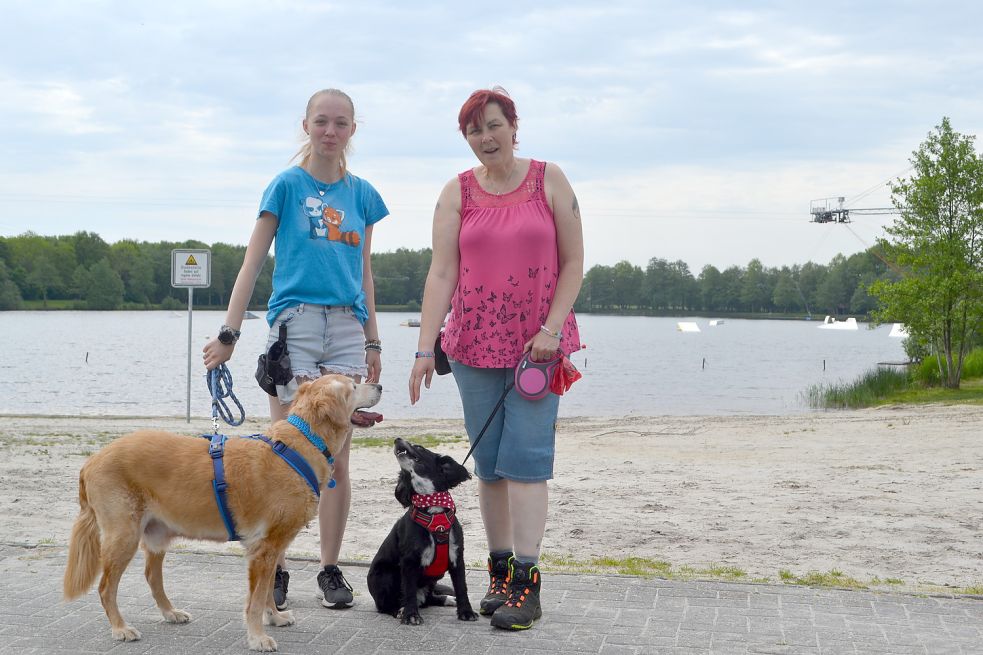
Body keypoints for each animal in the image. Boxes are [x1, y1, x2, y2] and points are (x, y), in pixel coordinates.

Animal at [63, 376, 382, 652]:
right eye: (354, 386)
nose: (379, 385)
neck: (302, 442)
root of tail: (92, 460)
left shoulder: (272, 547)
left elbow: (268, 590)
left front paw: (274, 617)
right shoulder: (263, 549)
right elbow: (255, 600)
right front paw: (258, 637)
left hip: (155, 535)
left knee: (152, 577)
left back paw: (170, 612)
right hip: (124, 535)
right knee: (106, 587)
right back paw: (120, 628)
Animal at [368, 438, 478, 624]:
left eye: (418, 447)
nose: (397, 439)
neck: (433, 508)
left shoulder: (457, 556)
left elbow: (462, 587)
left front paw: (466, 611)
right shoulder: (409, 561)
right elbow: (409, 590)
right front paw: (411, 615)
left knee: (430, 599)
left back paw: (448, 599)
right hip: (386, 575)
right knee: (385, 605)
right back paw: (399, 610)